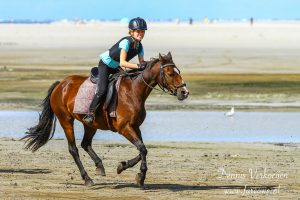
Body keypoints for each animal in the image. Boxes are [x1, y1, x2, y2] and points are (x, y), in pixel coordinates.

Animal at [22, 51, 189, 188]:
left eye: (178, 71)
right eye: (170, 73)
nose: (184, 92)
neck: (133, 91)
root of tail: (60, 84)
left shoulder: (135, 127)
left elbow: (143, 149)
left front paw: (123, 166)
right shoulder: (124, 128)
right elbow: (142, 148)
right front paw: (140, 177)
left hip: (90, 124)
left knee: (85, 144)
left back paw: (99, 166)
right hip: (66, 120)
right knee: (74, 149)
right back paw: (87, 179)